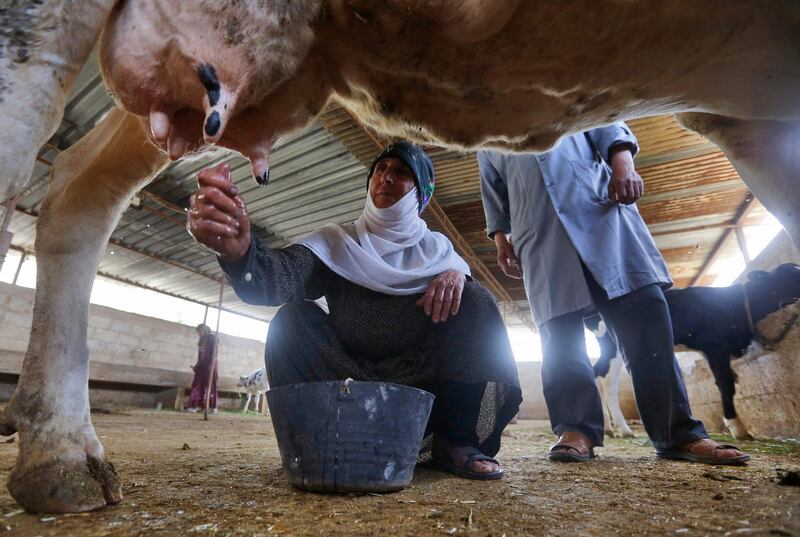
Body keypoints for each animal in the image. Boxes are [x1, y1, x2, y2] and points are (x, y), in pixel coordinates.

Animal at [588, 264, 800, 444]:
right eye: (792, 274)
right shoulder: (715, 347)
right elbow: (726, 384)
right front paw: (737, 428)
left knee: (598, 373)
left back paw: (609, 429)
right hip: (614, 347)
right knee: (608, 382)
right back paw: (623, 429)